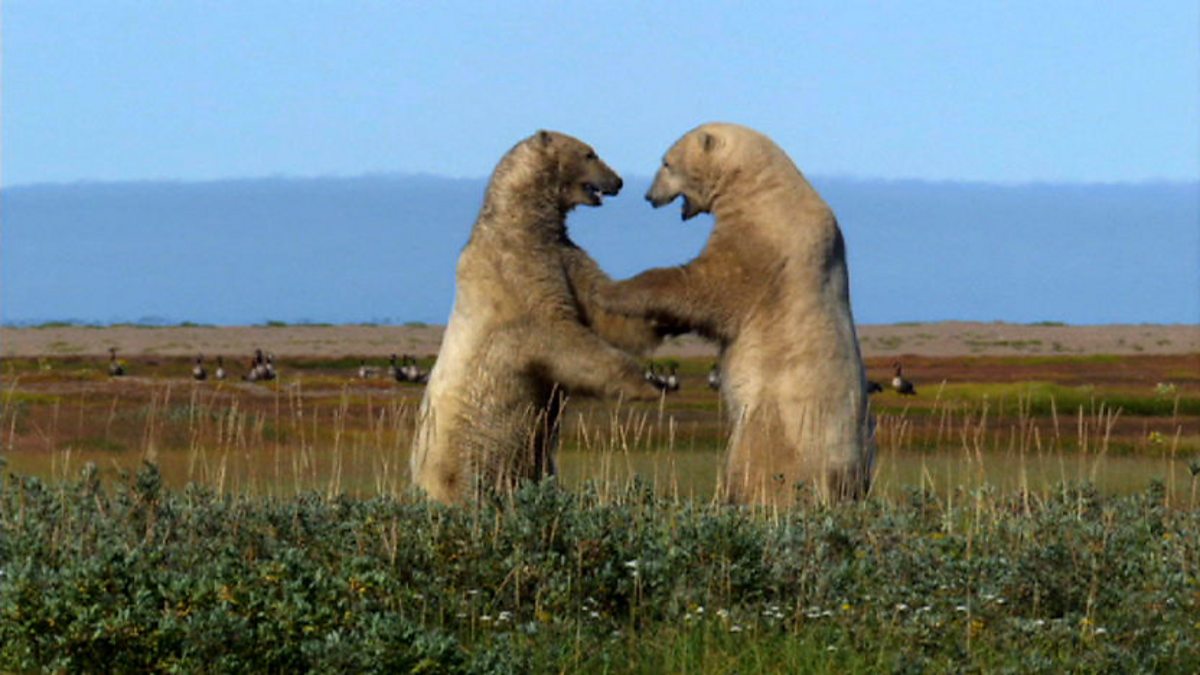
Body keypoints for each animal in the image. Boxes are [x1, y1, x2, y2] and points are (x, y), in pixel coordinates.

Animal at [410, 130, 670, 504]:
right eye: (590, 154)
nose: (618, 181)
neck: (520, 219)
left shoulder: (561, 252)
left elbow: (602, 303)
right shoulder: (517, 273)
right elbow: (559, 335)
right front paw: (648, 386)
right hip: (460, 456)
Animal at [598, 122, 875, 505]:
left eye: (666, 163)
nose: (649, 196)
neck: (762, 185)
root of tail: (845, 484)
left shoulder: (762, 237)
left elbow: (709, 290)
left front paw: (614, 291)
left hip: (779, 423)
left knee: (754, 462)